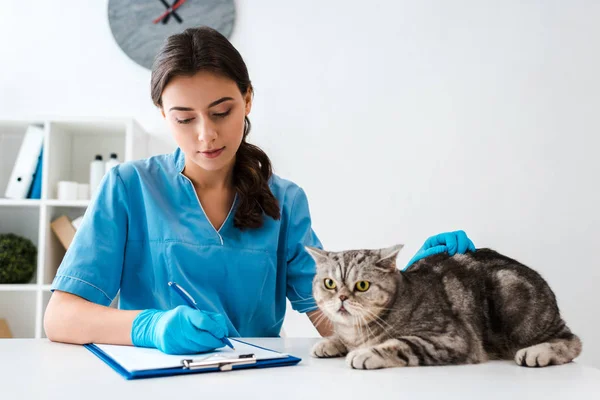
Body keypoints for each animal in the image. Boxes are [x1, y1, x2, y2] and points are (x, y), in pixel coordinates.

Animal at [308, 245, 580, 370]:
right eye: (330, 283)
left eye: (362, 285)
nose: (342, 297)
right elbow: (340, 337)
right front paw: (330, 343)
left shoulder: (449, 338)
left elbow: (400, 344)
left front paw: (365, 353)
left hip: (513, 297)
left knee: (572, 340)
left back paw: (538, 352)